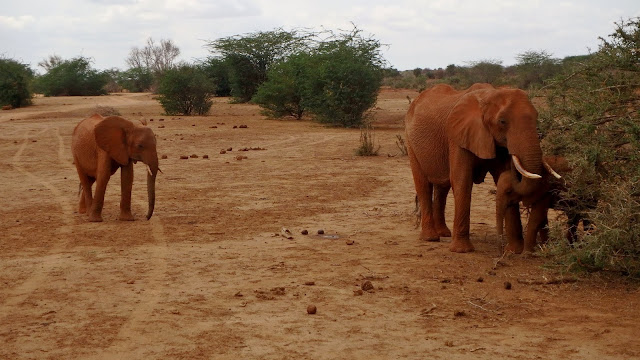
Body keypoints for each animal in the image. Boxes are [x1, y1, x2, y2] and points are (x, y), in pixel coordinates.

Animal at [404, 84, 544, 253]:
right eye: (502, 121)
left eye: (536, 117)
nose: (513, 155)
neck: (488, 96)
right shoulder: (458, 137)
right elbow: (462, 180)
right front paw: (461, 250)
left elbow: (502, 178)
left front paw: (514, 251)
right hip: (410, 141)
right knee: (423, 185)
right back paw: (430, 238)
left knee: (442, 187)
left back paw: (444, 233)